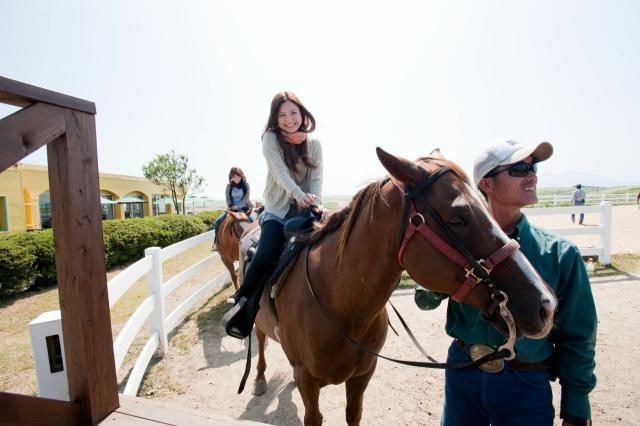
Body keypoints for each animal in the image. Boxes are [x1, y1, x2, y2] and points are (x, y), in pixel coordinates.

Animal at [245, 147, 556, 426]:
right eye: (458, 217)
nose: (546, 305)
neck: (340, 302)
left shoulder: (362, 375)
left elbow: (353, 414)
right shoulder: (309, 382)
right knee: (259, 337)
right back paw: (258, 379)